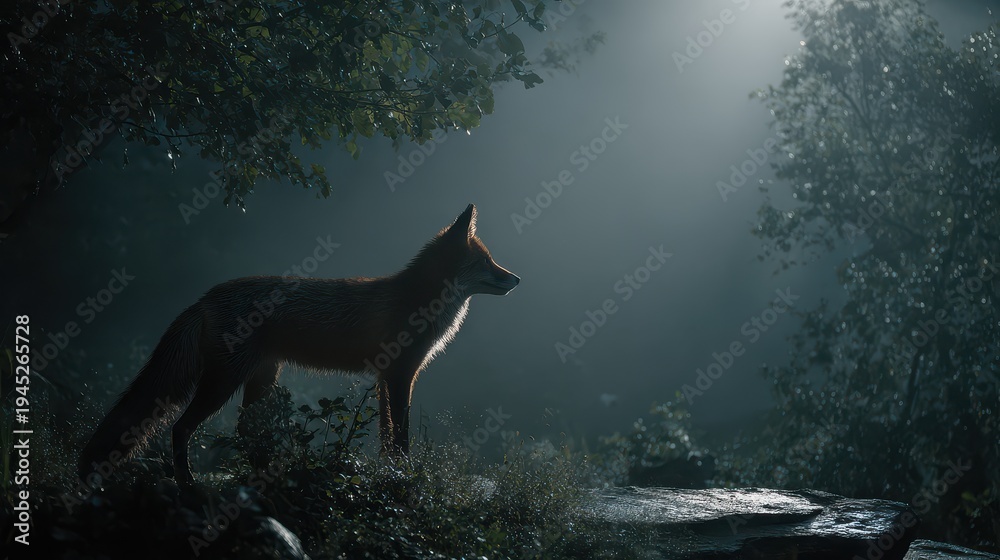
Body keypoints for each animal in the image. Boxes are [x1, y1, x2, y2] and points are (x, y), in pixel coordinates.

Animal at [79, 204, 519, 484]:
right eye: (487, 263)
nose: (516, 279)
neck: (418, 302)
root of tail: (205, 297)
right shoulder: (400, 374)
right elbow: (402, 435)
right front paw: (404, 473)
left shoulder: (384, 378)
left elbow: (385, 434)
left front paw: (389, 471)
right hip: (223, 381)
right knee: (181, 427)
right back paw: (188, 483)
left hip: (260, 378)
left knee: (244, 431)